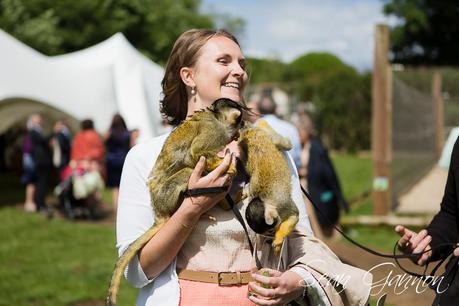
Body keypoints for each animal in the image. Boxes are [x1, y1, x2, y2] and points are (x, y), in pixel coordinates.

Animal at [241, 119, 302, 253]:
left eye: (271, 230)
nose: (272, 233)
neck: (265, 200)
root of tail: (250, 133)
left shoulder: (283, 204)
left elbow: (295, 215)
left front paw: (279, 238)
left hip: (267, 138)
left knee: (284, 144)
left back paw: (262, 122)